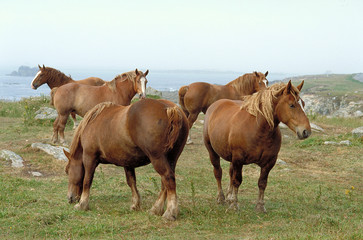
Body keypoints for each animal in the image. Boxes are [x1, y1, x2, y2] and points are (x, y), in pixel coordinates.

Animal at [203, 80, 312, 212]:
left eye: (303, 104)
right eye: (292, 105)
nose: (306, 131)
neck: (257, 129)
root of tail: (215, 105)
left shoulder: (269, 162)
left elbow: (262, 183)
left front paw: (260, 206)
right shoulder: (238, 159)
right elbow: (237, 180)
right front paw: (234, 205)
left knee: (230, 173)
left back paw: (229, 196)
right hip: (212, 152)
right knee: (218, 173)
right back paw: (221, 198)